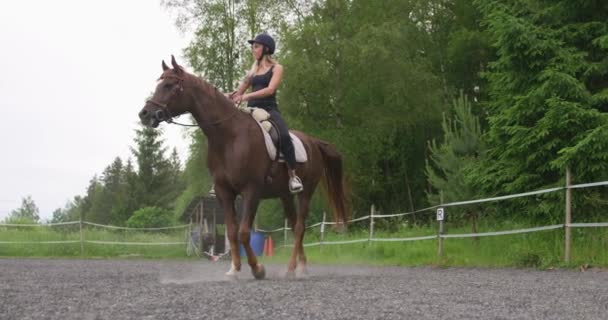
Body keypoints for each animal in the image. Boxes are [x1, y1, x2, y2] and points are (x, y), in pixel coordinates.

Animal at [137, 56, 346, 278]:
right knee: (294, 225)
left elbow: (244, 232)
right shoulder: (224, 192)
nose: (144, 114)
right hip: (285, 195)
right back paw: (300, 266)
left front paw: (257, 269)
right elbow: (231, 231)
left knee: (299, 227)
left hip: (306, 192)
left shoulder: (251, 191)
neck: (228, 136)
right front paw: (235, 269)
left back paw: (292, 269)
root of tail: (313, 142)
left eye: (168, 85)